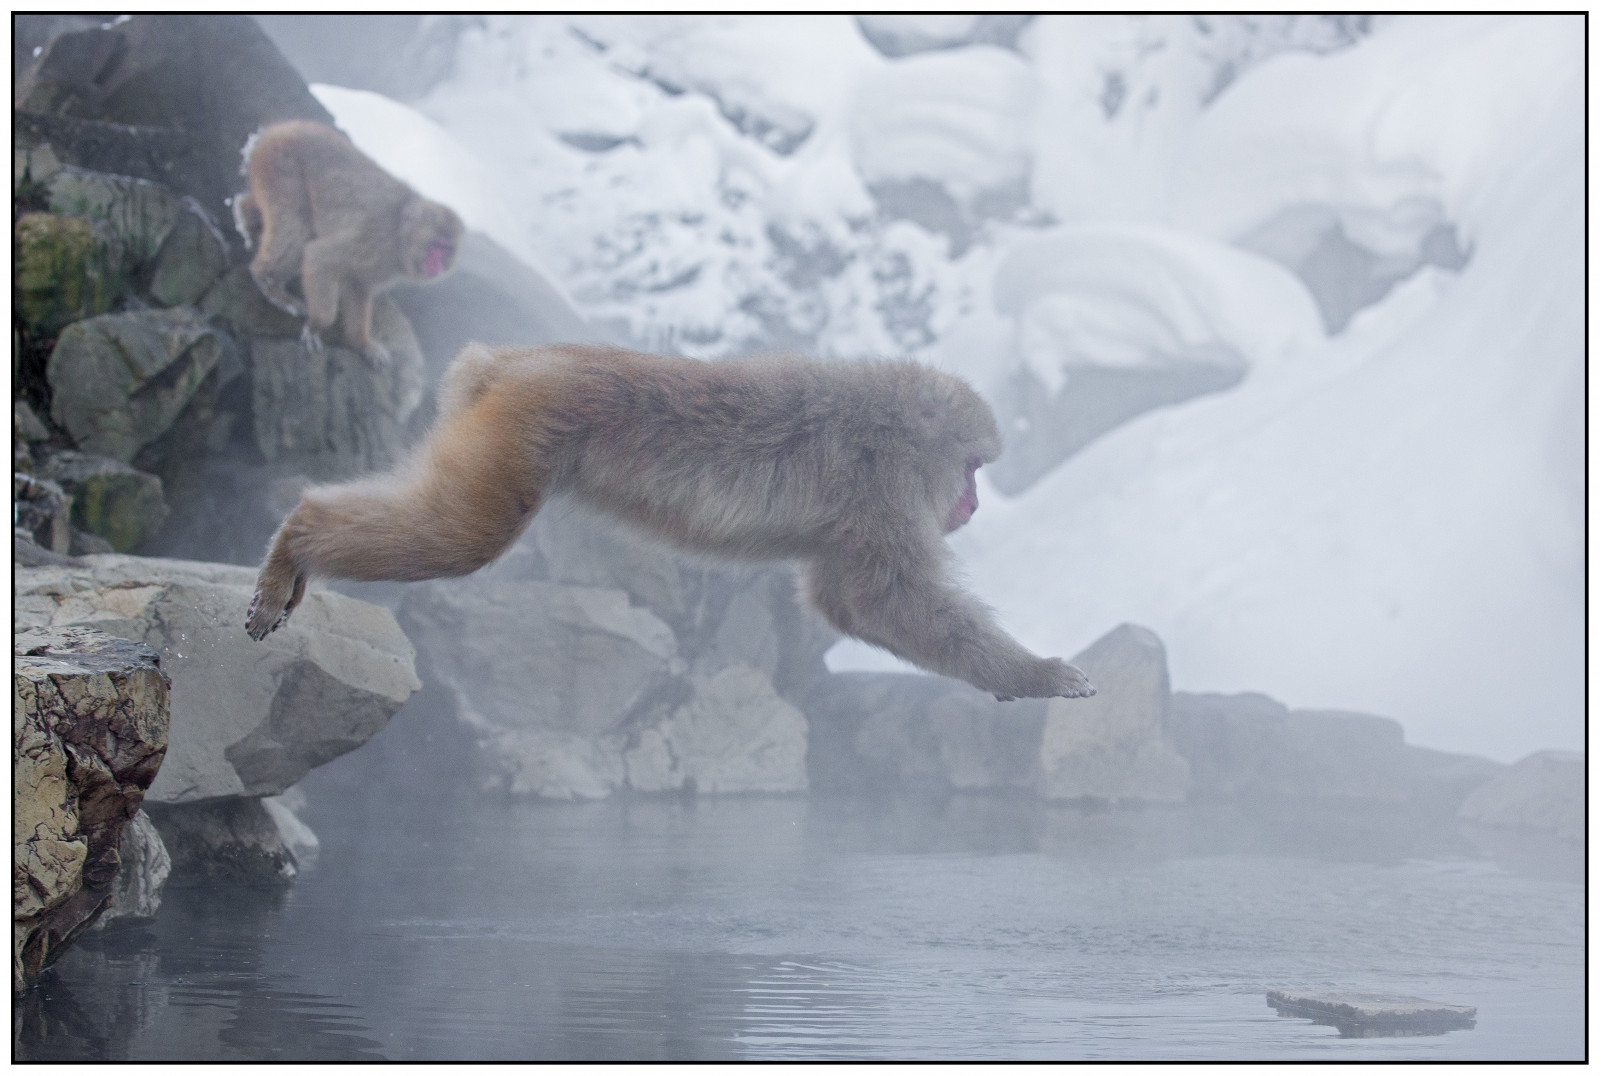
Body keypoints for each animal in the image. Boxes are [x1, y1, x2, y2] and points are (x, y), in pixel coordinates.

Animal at [233, 119, 463, 366]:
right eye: (435, 246)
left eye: (447, 250)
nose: (437, 266)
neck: (399, 235)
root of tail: (279, 129)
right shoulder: (374, 239)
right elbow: (320, 257)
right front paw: (317, 326)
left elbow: (358, 285)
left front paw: (363, 343)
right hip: (282, 165)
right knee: (297, 227)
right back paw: (270, 283)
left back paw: (244, 216)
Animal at [245, 344, 1097, 702]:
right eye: (973, 467)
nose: (973, 502)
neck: (891, 425)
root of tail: (511, 361)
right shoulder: (879, 484)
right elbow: (884, 598)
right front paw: (1035, 676)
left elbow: (847, 604)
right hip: (515, 433)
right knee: (464, 537)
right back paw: (297, 537)